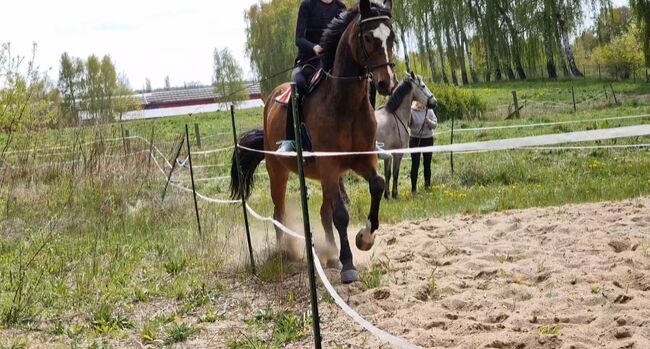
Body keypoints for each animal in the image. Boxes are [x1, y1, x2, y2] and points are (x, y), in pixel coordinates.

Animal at [233, 0, 394, 282]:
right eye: (367, 37)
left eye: (391, 37)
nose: (387, 83)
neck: (344, 104)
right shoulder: (329, 165)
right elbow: (340, 215)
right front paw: (349, 265)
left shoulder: (362, 159)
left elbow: (377, 184)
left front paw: (365, 238)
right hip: (278, 172)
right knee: (279, 211)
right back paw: (286, 251)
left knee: (321, 213)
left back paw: (330, 256)